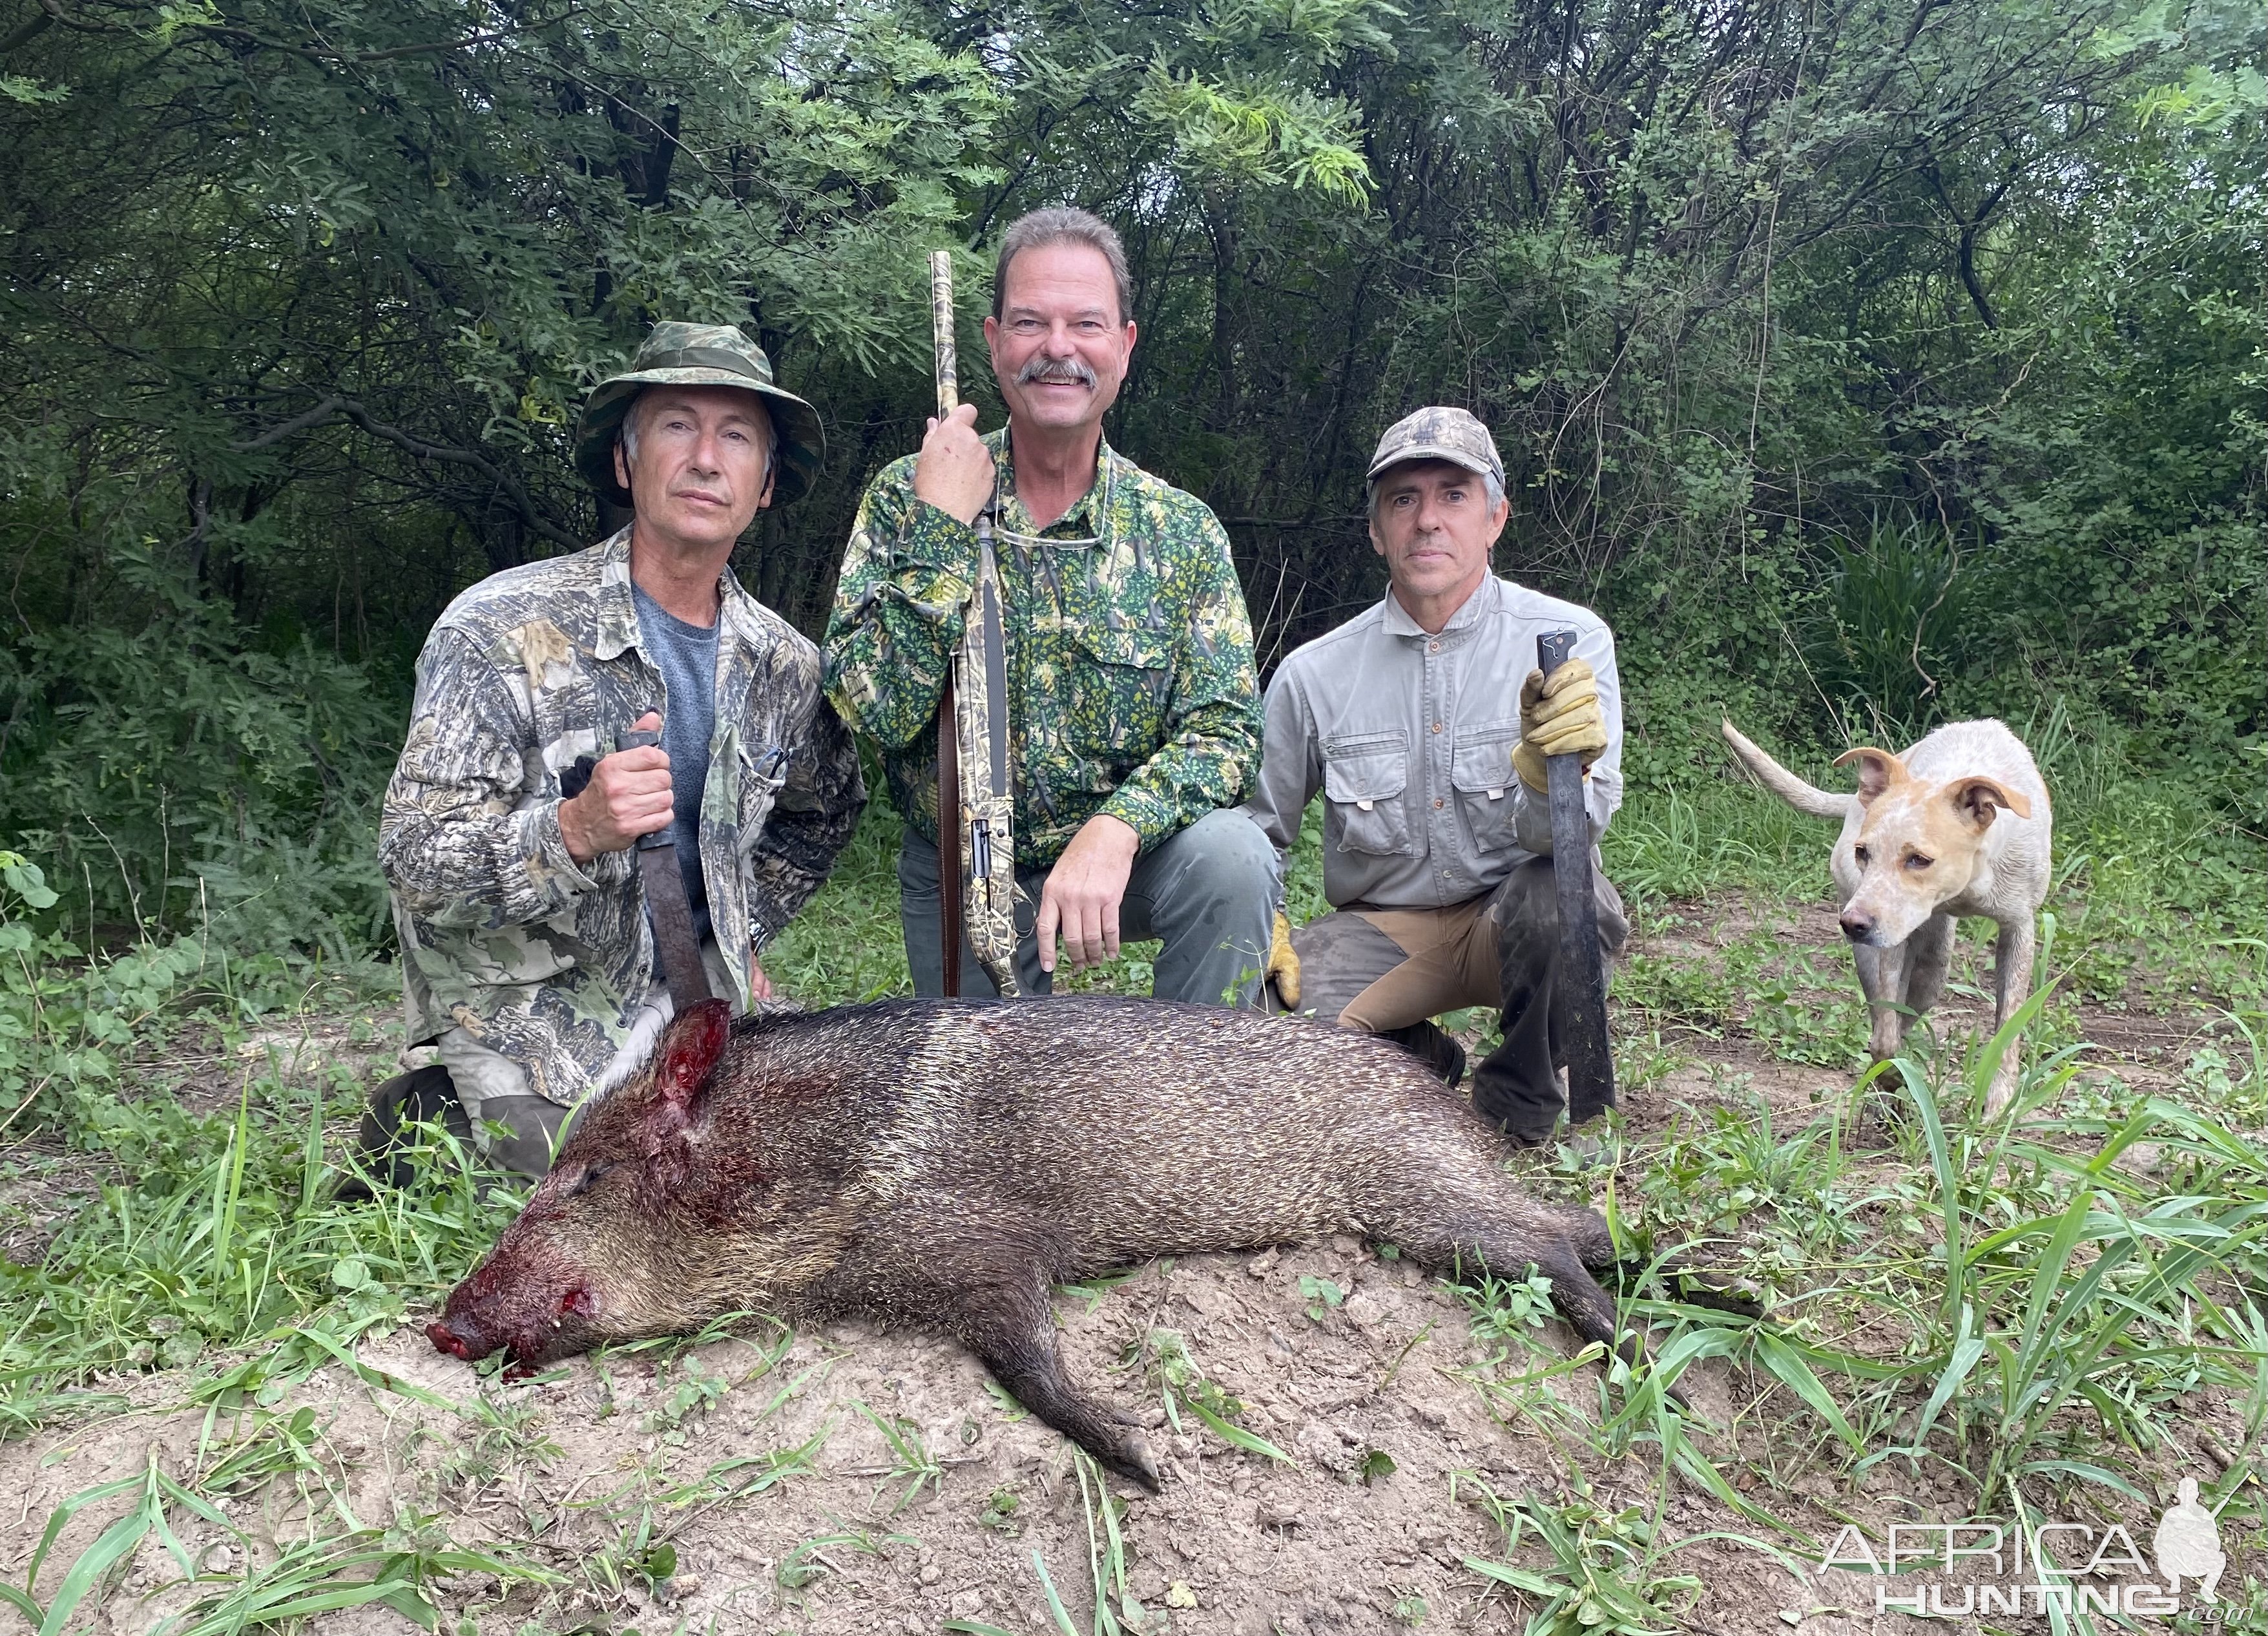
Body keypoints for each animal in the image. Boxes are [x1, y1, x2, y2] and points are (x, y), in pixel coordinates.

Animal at [1723, 721, 2050, 1116]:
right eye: (1863, 852)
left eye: (1919, 859)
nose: (1852, 924)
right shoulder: (1893, 938)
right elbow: (1885, 1037)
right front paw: (1891, 1075)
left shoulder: (2019, 927)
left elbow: (2009, 1023)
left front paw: (1998, 1103)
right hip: (1910, 960)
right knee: (1888, 1015)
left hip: (1932, 967)